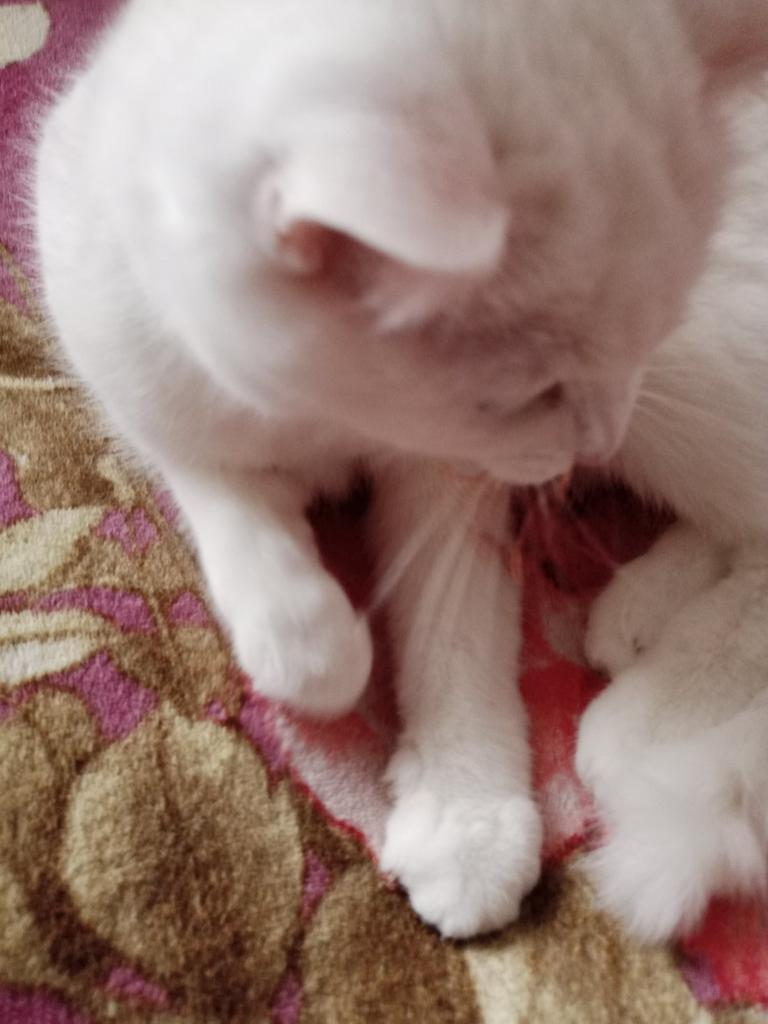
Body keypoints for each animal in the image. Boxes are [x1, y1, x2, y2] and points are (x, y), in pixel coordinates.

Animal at [34, 0, 768, 940]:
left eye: (643, 333)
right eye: (532, 394)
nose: (590, 444)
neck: (330, 417)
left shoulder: (452, 483)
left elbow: (454, 633)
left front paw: (469, 819)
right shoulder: (133, 349)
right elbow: (222, 487)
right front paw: (312, 643)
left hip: (691, 385)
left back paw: (635, 717)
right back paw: (636, 618)